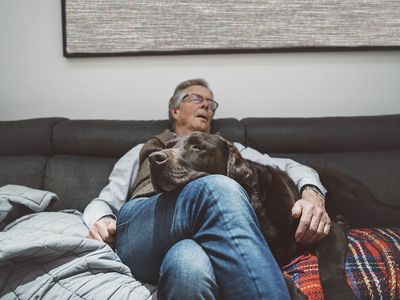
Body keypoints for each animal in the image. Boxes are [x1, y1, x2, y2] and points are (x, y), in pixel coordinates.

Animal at [148, 132, 378, 300]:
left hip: (357, 204)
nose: (154, 158)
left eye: (198, 147)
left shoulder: (324, 229)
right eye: (168, 145)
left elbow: (330, 268)